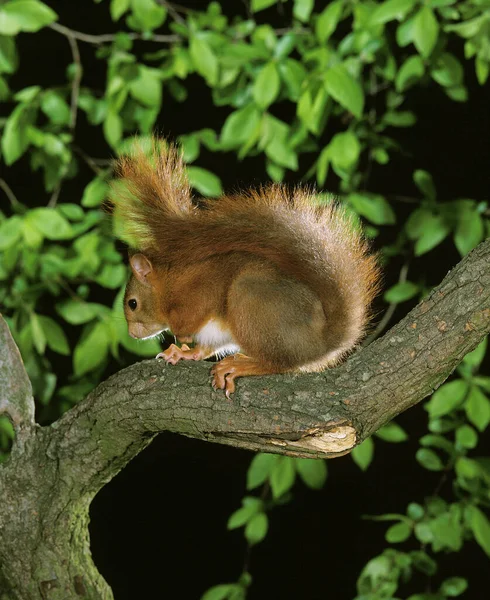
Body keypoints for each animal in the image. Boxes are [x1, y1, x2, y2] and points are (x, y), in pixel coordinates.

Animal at [109, 139, 380, 394]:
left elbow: (193, 315)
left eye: (132, 303)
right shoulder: (211, 331)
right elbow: (203, 349)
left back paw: (240, 365)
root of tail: (321, 342)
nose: (132, 334)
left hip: (250, 300)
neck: (169, 284)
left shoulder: (200, 289)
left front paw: (182, 335)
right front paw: (182, 351)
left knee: (279, 363)